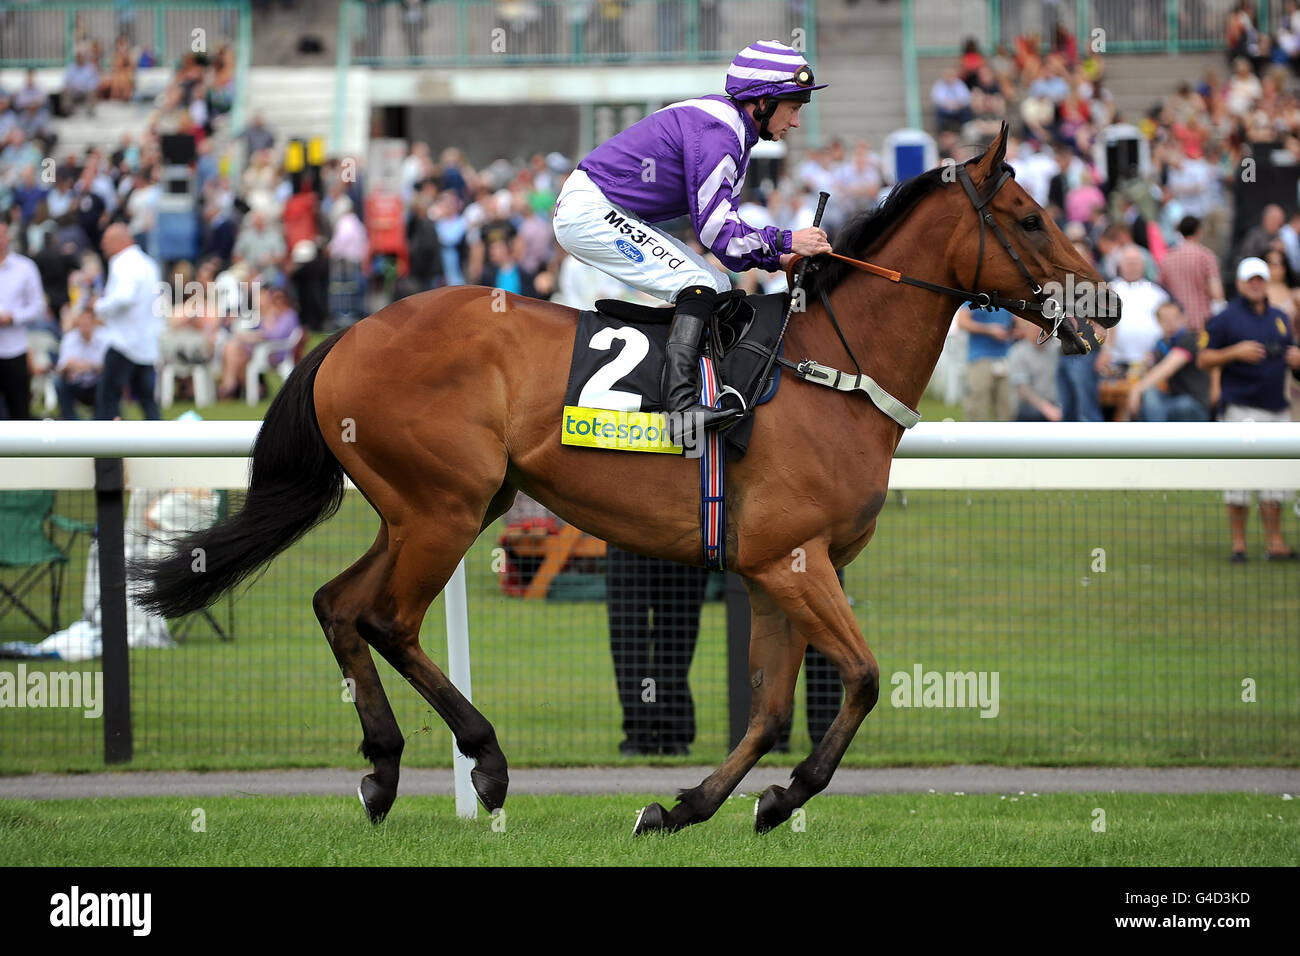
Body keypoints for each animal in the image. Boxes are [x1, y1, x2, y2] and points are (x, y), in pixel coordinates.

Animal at [139, 125, 1118, 832]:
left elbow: (770, 708)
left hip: (434, 507)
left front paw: (692, 806)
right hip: (444, 508)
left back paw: (382, 771)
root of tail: (348, 332)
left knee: (339, 605)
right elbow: (866, 678)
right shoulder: (796, 560)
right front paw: (779, 796)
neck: (830, 368)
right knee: (387, 619)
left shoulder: (778, 567)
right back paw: (486, 762)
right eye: (1029, 217)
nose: (1104, 300)